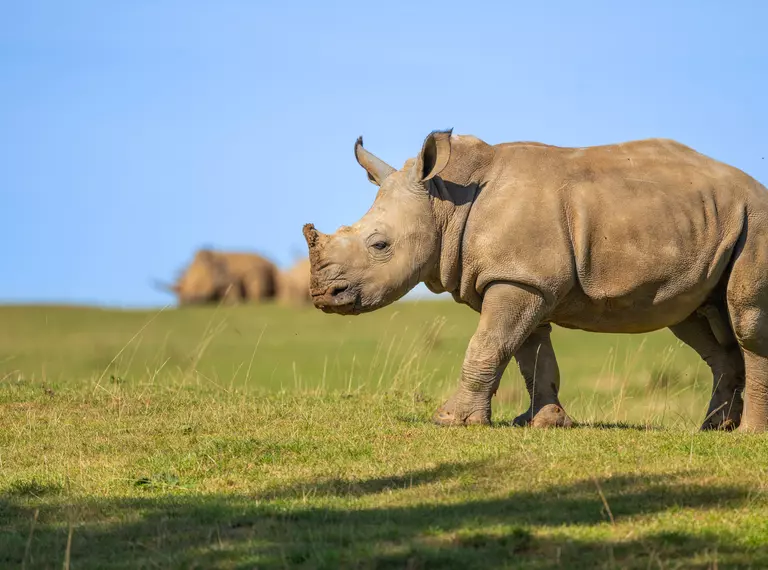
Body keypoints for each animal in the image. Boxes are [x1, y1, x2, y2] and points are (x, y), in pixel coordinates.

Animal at [304, 129, 768, 430]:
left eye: (380, 245)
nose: (322, 295)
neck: (446, 202)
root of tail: (756, 186)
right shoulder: (525, 278)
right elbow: (531, 353)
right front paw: (543, 422)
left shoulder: (519, 279)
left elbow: (488, 344)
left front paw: (452, 421)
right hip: (706, 224)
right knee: (697, 322)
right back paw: (713, 429)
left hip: (756, 219)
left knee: (745, 321)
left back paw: (746, 435)